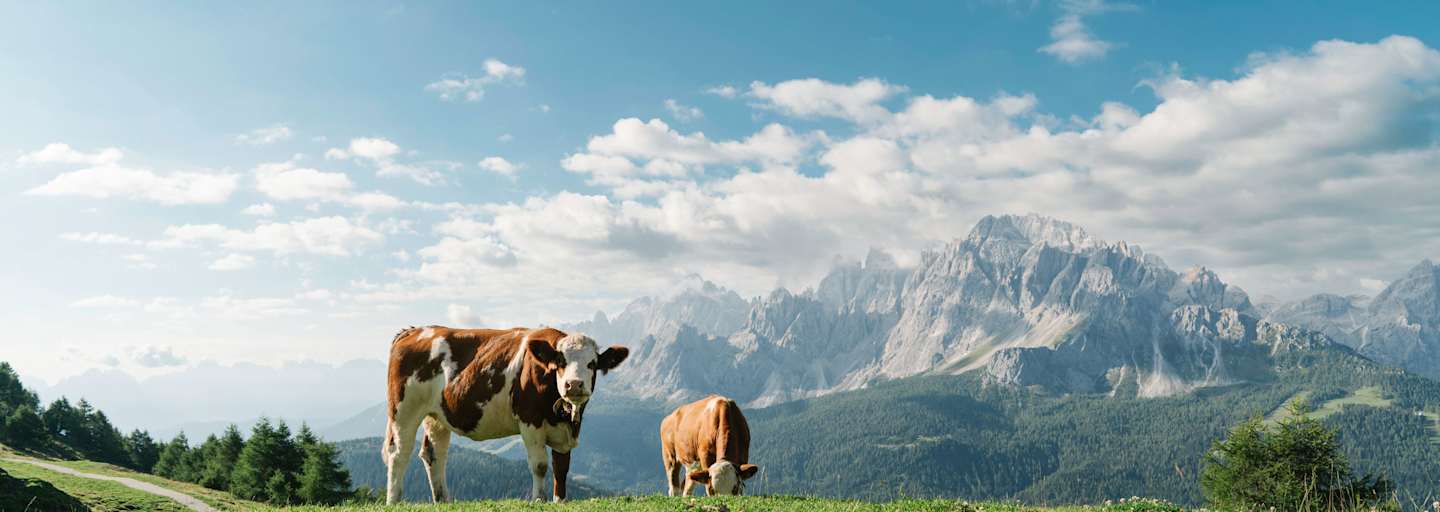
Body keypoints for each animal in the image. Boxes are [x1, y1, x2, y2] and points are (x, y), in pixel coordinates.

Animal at [383, 325, 629, 504]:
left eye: (592, 363)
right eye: (561, 361)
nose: (574, 384)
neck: (563, 416)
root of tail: (414, 330)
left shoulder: (565, 431)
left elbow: (562, 467)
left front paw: (560, 501)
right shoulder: (530, 421)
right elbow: (540, 465)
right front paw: (539, 500)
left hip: (436, 416)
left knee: (434, 454)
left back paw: (443, 500)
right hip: (403, 410)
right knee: (399, 453)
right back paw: (394, 501)